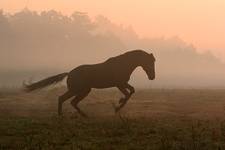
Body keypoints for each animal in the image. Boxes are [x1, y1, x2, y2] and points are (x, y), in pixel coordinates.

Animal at [23, 49, 156, 116]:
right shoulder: (119, 84)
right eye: (150, 62)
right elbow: (128, 94)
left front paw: (118, 105)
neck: (123, 64)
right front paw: (118, 106)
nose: (152, 77)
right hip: (78, 90)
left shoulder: (122, 83)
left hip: (83, 90)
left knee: (70, 101)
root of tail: (69, 73)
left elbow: (132, 91)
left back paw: (79, 115)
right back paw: (65, 115)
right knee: (65, 99)